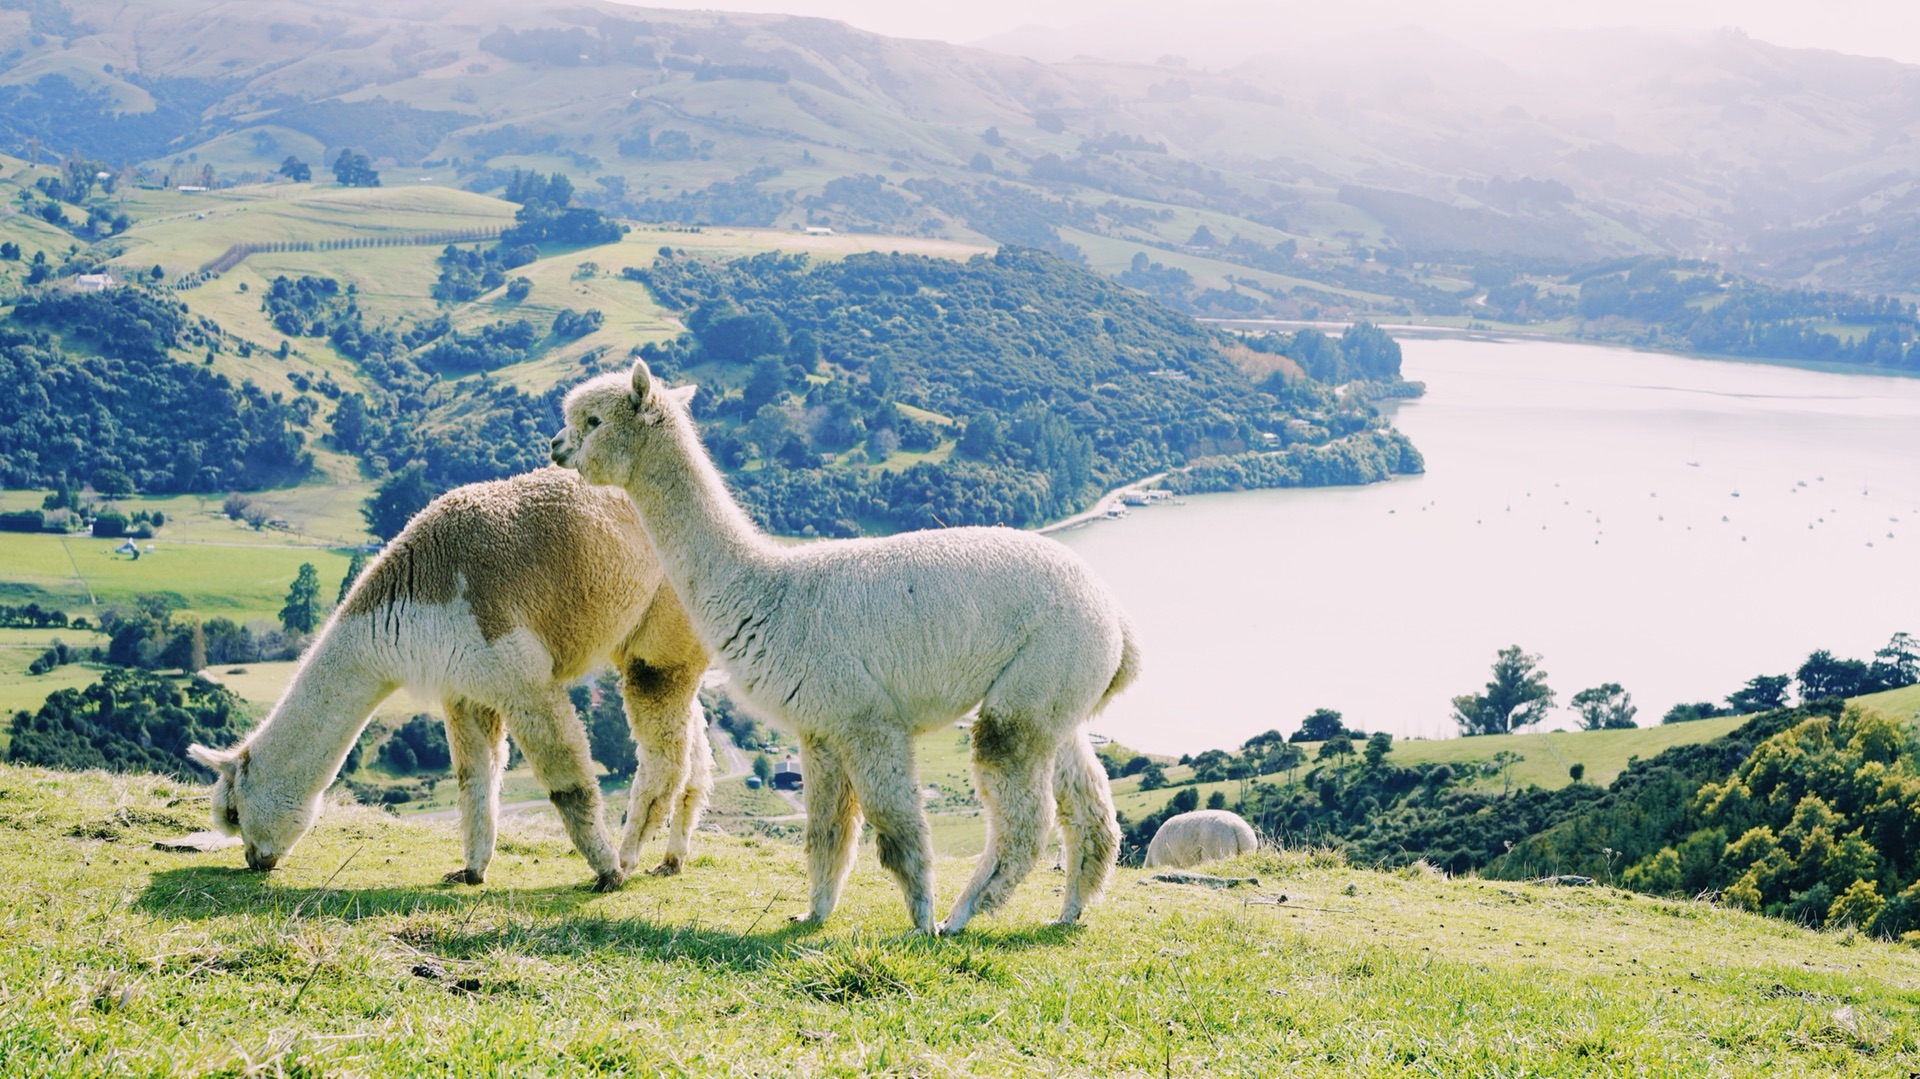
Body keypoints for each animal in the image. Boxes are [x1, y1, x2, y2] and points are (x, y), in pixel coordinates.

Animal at [189, 466, 714, 887]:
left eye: (233, 813)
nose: (255, 860)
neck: (413, 603)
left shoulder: (521, 676)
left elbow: (567, 782)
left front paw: (604, 872)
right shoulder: (465, 688)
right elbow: (474, 779)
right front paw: (471, 870)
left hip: (663, 631)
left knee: (664, 758)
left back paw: (627, 858)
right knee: (695, 750)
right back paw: (671, 860)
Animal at [549, 360, 1136, 933]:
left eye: (592, 421)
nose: (554, 446)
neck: (768, 589)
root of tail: (1116, 619)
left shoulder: (866, 718)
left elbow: (898, 828)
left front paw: (920, 921)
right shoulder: (820, 728)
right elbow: (827, 832)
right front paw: (813, 913)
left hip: (1034, 684)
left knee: (1023, 820)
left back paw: (959, 916)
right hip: (1056, 697)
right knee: (1092, 811)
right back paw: (1069, 912)